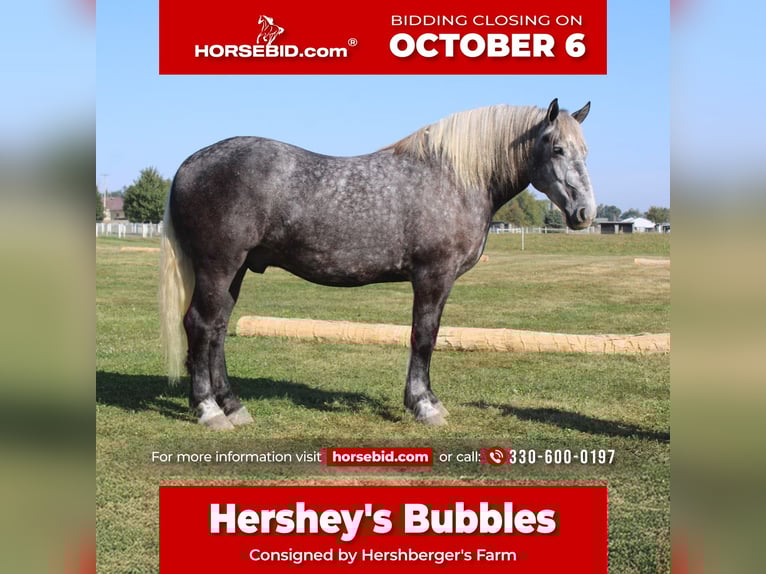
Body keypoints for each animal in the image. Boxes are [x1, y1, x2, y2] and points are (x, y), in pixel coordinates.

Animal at [159, 99, 596, 430]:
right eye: (557, 149)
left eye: (585, 152)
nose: (585, 213)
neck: (453, 178)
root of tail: (189, 164)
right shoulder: (433, 276)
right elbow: (425, 336)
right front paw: (424, 405)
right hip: (219, 266)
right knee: (200, 325)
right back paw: (209, 410)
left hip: (236, 270)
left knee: (217, 329)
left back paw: (233, 406)